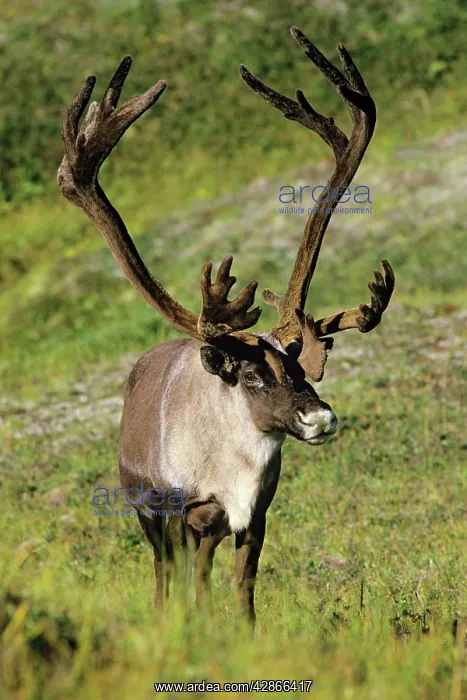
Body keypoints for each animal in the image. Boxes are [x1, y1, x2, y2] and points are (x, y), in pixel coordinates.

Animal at [58, 26, 394, 626]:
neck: (230, 471)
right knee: (166, 577)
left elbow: (242, 595)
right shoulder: (179, 511)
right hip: (147, 511)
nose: (320, 418)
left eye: (303, 372)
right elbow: (181, 588)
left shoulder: (254, 516)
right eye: (254, 377)